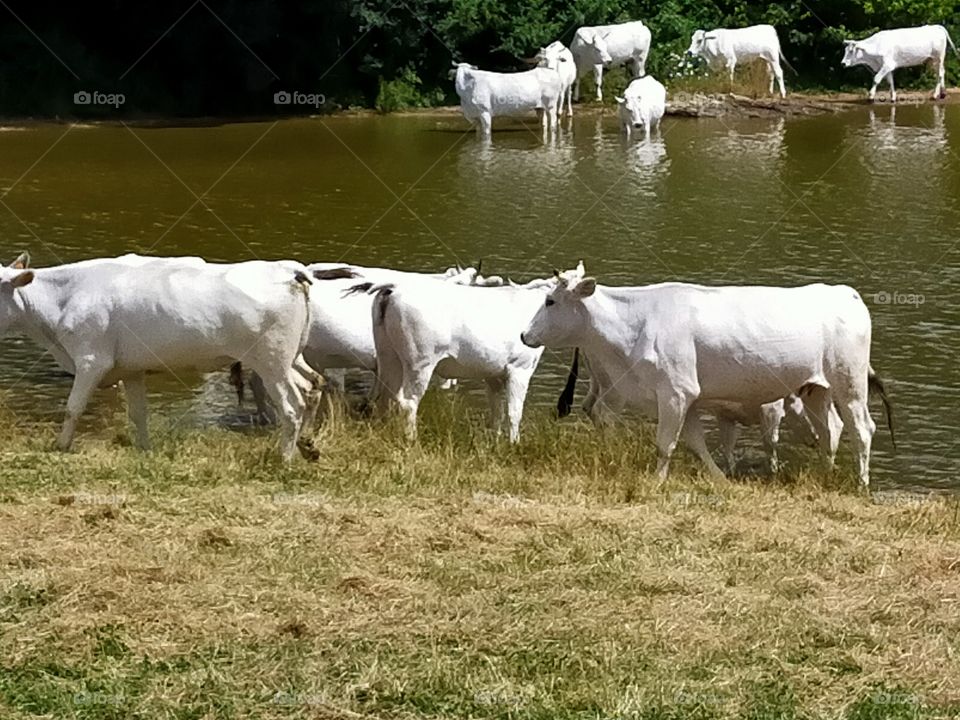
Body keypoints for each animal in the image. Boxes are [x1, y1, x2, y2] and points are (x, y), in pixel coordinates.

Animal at [0, 253, 324, 460]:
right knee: (312, 385)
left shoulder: (92, 360)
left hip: (271, 361)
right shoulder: (130, 369)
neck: (63, 299)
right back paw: (307, 446)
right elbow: (138, 413)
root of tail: (289, 272)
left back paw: (284, 459)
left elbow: (73, 407)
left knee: (292, 406)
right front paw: (144, 450)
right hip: (290, 358)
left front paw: (61, 446)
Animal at [365, 279, 550, 442]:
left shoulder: (493, 374)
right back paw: (412, 440)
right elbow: (514, 412)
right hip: (420, 361)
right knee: (408, 402)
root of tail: (394, 287)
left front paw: (496, 443)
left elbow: (497, 411)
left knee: (385, 397)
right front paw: (513, 444)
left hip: (388, 354)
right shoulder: (520, 368)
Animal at [521, 264, 895, 486]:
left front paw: (656, 482)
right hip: (814, 388)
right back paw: (826, 476)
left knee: (862, 429)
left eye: (551, 301)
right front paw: (720, 478)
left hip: (850, 384)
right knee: (830, 429)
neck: (637, 322)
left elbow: (665, 444)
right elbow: (696, 444)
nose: (525, 335)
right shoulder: (687, 399)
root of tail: (843, 292)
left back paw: (861, 483)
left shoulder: (676, 393)